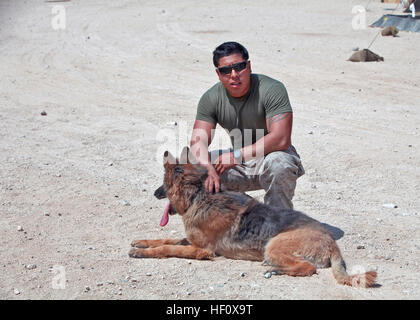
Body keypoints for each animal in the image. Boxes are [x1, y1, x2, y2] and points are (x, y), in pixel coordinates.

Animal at [129, 148, 378, 288]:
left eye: (163, 184)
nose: (154, 193)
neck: (198, 195)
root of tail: (333, 245)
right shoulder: (191, 240)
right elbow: (165, 240)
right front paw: (142, 242)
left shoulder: (202, 249)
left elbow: (168, 248)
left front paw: (142, 253)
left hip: (274, 245)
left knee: (308, 268)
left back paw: (276, 270)